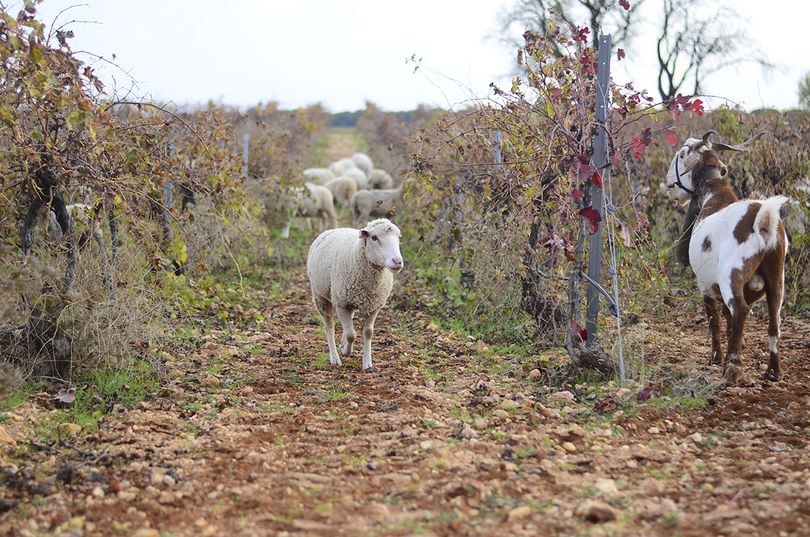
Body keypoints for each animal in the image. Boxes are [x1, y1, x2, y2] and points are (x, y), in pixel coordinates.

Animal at [304, 216, 402, 370]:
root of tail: (335, 228)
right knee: (329, 326)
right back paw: (334, 357)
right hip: (321, 296)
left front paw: (367, 363)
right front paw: (346, 351)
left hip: (350, 301)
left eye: (398, 237)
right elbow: (352, 334)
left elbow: (368, 332)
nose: (397, 262)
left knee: (347, 321)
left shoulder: (374, 306)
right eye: (374, 237)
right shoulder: (341, 304)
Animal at [664, 130, 788, 382]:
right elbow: (728, 321)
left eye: (681, 154)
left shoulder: (705, 285)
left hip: (731, 277)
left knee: (740, 309)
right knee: (774, 321)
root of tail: (764, 218)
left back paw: (732, 365)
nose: (668, 182)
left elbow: (715, 322)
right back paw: (773, 371)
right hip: (776, 279)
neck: (714, 194)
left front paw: (716, 358)